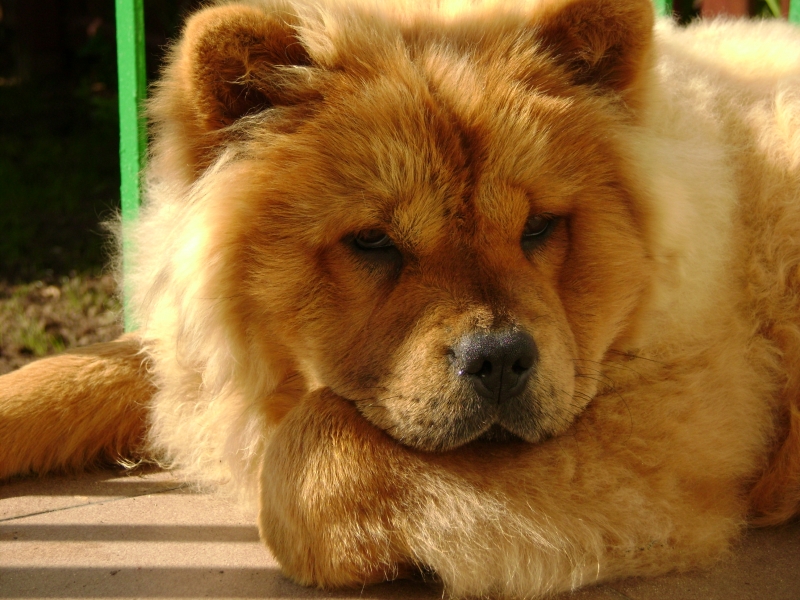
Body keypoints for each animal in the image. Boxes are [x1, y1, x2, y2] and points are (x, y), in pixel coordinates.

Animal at [1, 0, 799, 596]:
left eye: (540, 227)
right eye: (374, 242)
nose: (501, 357)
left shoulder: (674, 419)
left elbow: (306, 454)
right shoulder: (190, 358)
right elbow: (75, 371)